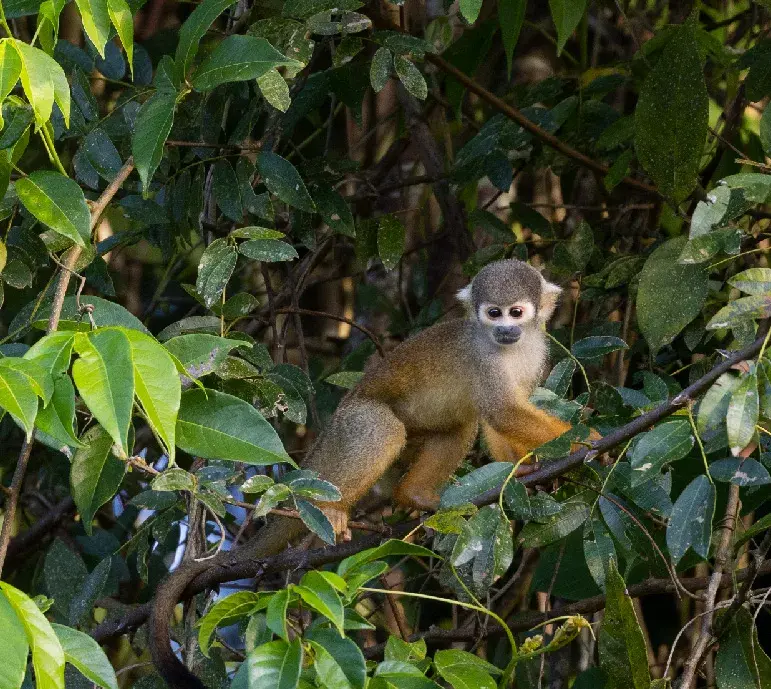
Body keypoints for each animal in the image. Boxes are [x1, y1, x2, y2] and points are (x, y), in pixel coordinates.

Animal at [150, 258, 589, 689]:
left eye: (516, 313)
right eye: (493, 313)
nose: (504, 329)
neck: (511, 348)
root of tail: (328, 433)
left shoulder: (536, 352)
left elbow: (499, 419)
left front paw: (526, 467)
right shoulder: (482, 358)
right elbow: (501, 411)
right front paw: (587, 441)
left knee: (460, 425)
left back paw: (415, 495)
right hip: (353, 423)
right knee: (385, 429)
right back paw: (338, 509)